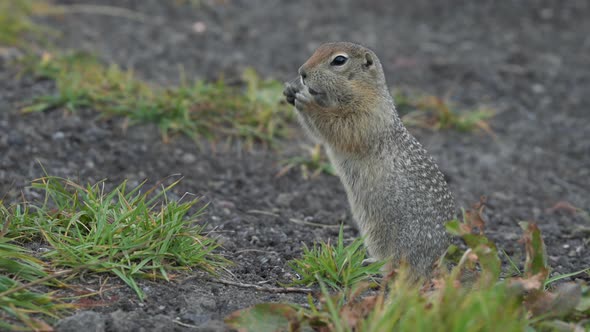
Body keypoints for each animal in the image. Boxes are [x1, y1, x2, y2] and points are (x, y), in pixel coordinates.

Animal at [286, 41, 458, 278]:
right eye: (317, 50)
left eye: (339, 60)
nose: (302, 72)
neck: (360, 89)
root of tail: (438, 262)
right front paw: (290, 90)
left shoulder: (367, 113)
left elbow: (341, 126)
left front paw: (307, 101)